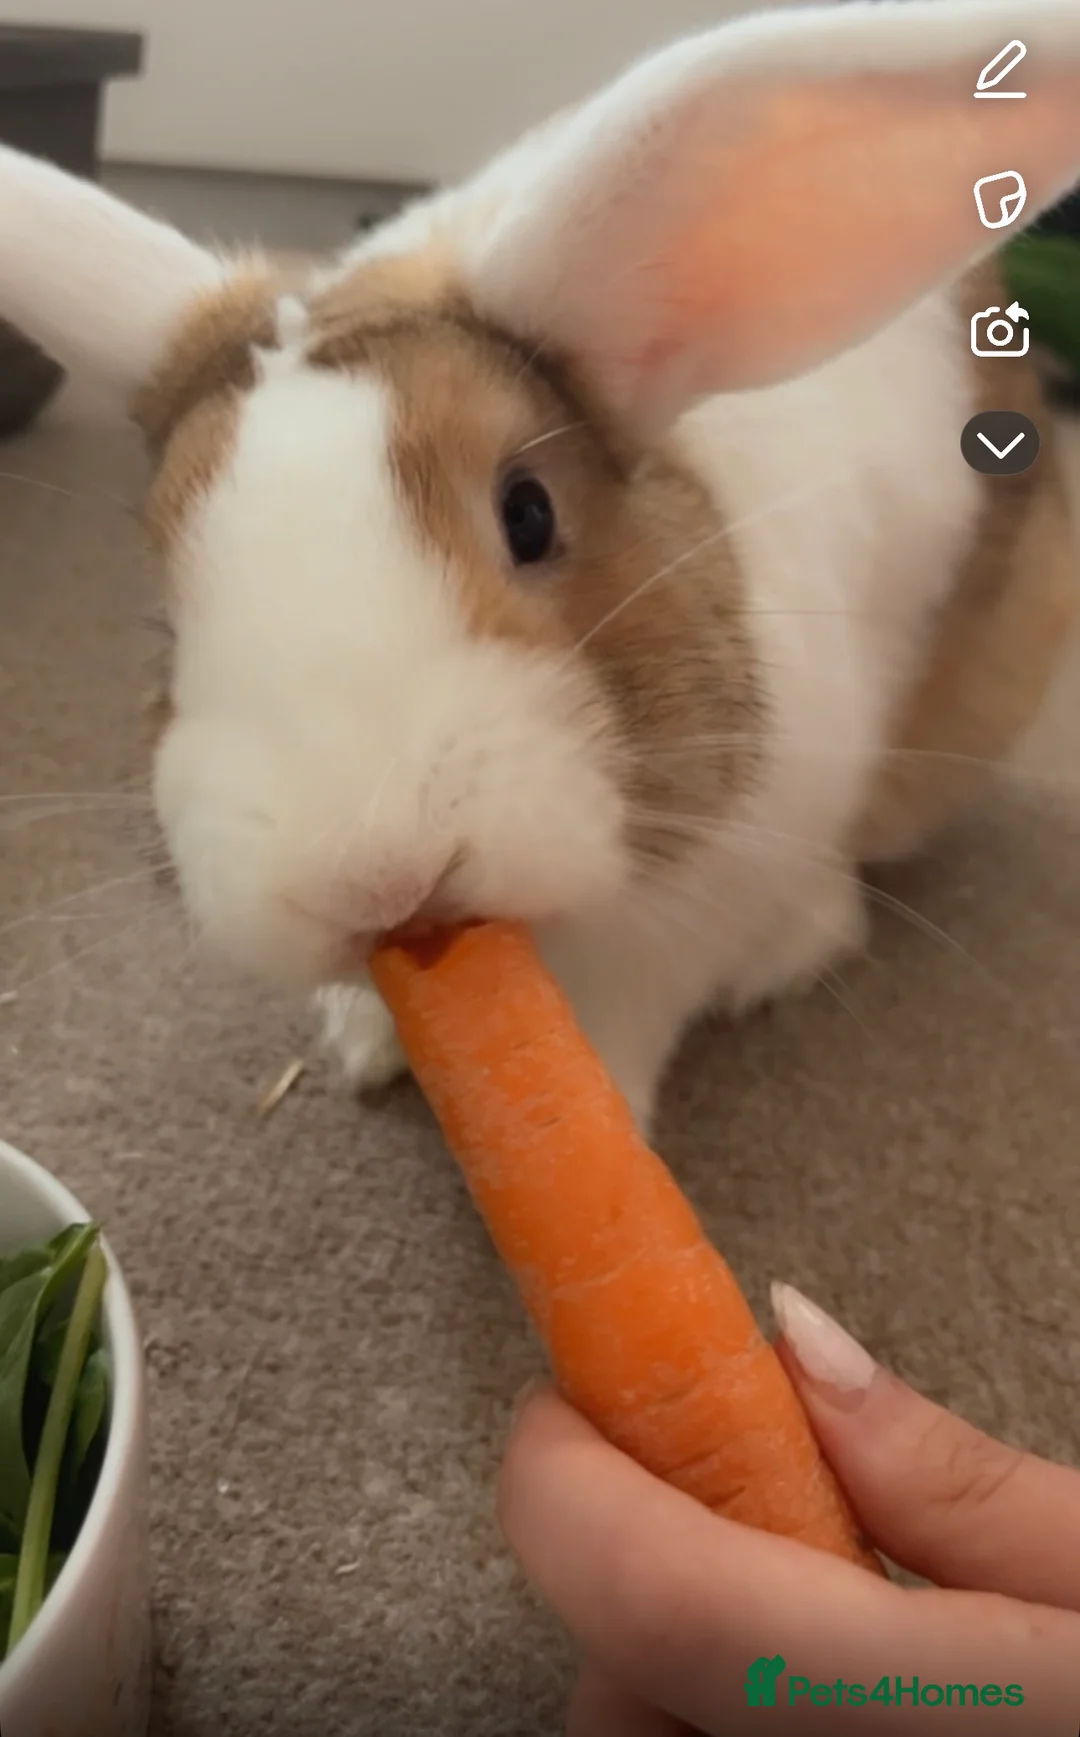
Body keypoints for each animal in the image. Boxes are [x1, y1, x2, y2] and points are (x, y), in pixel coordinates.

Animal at [1, 0, 1078, 1132]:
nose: (373, 877)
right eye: (165, 617)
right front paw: (370, 1045)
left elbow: (628, 1012)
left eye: (529, 513)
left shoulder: (709, 889)